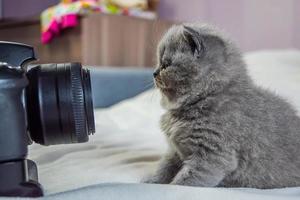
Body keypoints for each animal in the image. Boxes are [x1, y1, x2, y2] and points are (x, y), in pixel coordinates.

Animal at [142, 23, 300, 189]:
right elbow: (164, 168)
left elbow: (186, 180)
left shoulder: (212, 155)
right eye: (158, 62)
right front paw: (152, 181)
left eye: (166, 64)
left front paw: (172, 186)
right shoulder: (175, 151)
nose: (154, 72)